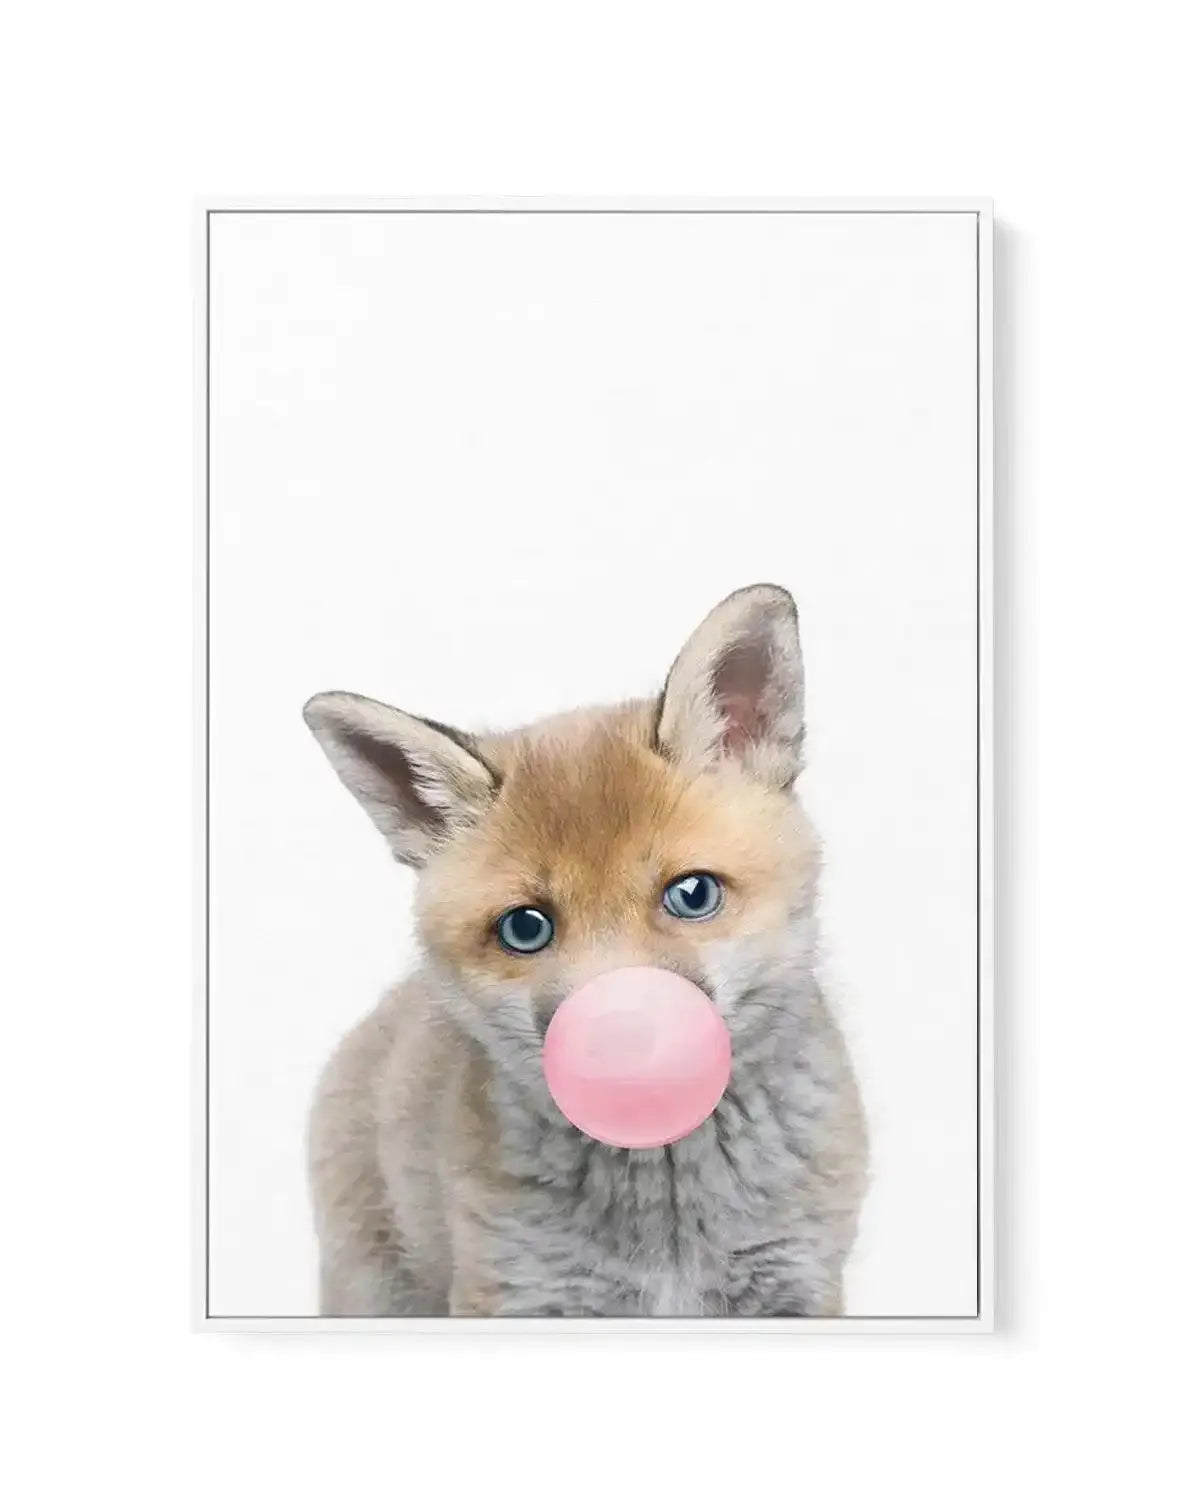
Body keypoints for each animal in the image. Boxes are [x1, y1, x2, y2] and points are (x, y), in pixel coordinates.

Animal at [303, 583, 867, 1317]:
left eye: (692, 894)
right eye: (526, 928)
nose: (621, 1044)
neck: (669, 1235)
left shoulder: (797, 1281)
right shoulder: (516, 1292)